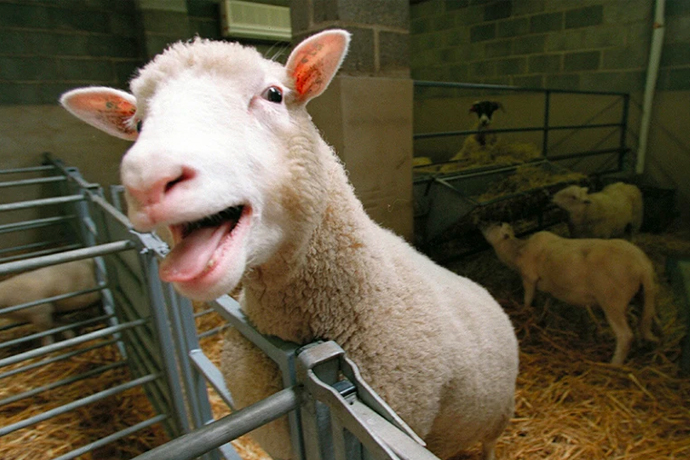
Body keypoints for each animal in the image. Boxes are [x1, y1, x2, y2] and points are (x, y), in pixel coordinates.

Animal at [482, 223, 657, 365]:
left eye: (494, 225)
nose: (480, 224)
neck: (518, 250)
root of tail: (644, 266)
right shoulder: (547, 286)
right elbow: (545, 303)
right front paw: (542, 318)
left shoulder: (529, 278)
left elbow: (527, 299)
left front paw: (524, 313)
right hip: (641, 295)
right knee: (642, 320)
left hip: (612, 300)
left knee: (625, 336)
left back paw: (614, 364)